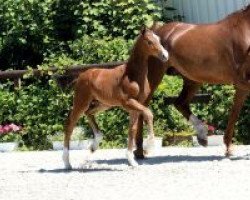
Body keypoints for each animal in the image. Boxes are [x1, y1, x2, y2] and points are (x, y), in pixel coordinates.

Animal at [62, 27, 169, 169]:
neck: (132, 75)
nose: (165, 56)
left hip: (104, 104)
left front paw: (132, 161)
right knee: (70, 124)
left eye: (158, 39)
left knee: (89, 113)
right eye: (149, 42)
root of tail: (81, 76)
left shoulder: (136, 106)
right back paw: (67, 162)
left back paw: (95, 144)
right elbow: (149, 113)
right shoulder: (128, 102)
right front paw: (150, 144)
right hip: (81, 102)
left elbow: (132, 130)